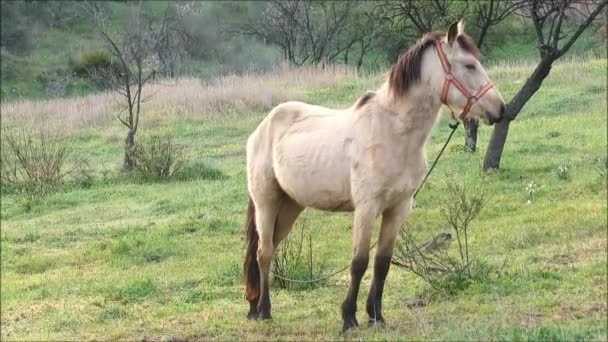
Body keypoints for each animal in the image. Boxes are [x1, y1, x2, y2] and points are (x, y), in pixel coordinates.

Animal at [241, 20, 504, 332]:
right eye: (469, 65)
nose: (500, 109)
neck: (393, 132)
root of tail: (262, 127)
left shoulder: (398, 208)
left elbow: (382, 262)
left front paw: (376, 315)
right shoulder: (366, 208)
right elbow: (359, 262)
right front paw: (349, 318)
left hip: (290, 206)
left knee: (268, 249)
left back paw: (255, 308)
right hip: (266, 203)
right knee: (264, 253)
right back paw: (264, 311)